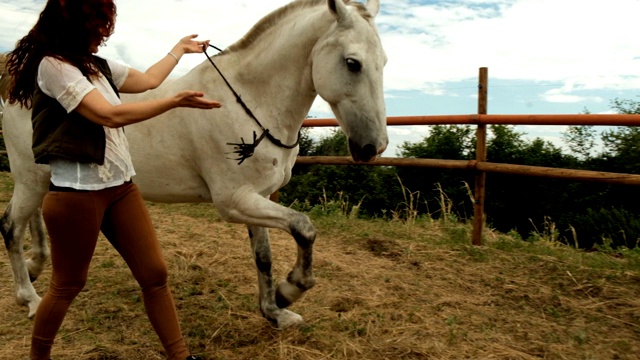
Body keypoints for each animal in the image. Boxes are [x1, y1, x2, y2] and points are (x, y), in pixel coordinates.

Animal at [0, 0, 384, 330]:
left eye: (384, 61)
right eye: (353, 63)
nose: (373, 147)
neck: (247, 102)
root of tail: (24, 89)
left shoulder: (259, 196)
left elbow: (264, 256)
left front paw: (275, 311)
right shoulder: (234, 201)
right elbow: (304, 228)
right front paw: (290, 291)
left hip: (41, 179)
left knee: (32, 220)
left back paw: (36, 266)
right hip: (31, 179)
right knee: (11, 227)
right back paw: (29, 298)